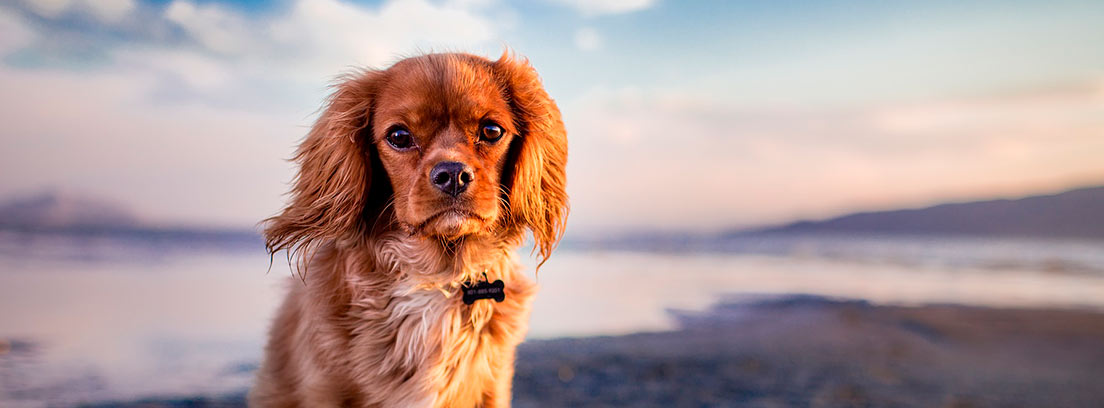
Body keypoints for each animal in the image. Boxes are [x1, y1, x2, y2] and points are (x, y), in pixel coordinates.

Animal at [250, 54, 569, 408]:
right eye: (399, 136)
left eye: (491, 131)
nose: (452, 173)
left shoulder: (492, 387)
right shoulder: (324, 387)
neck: (437, 277)